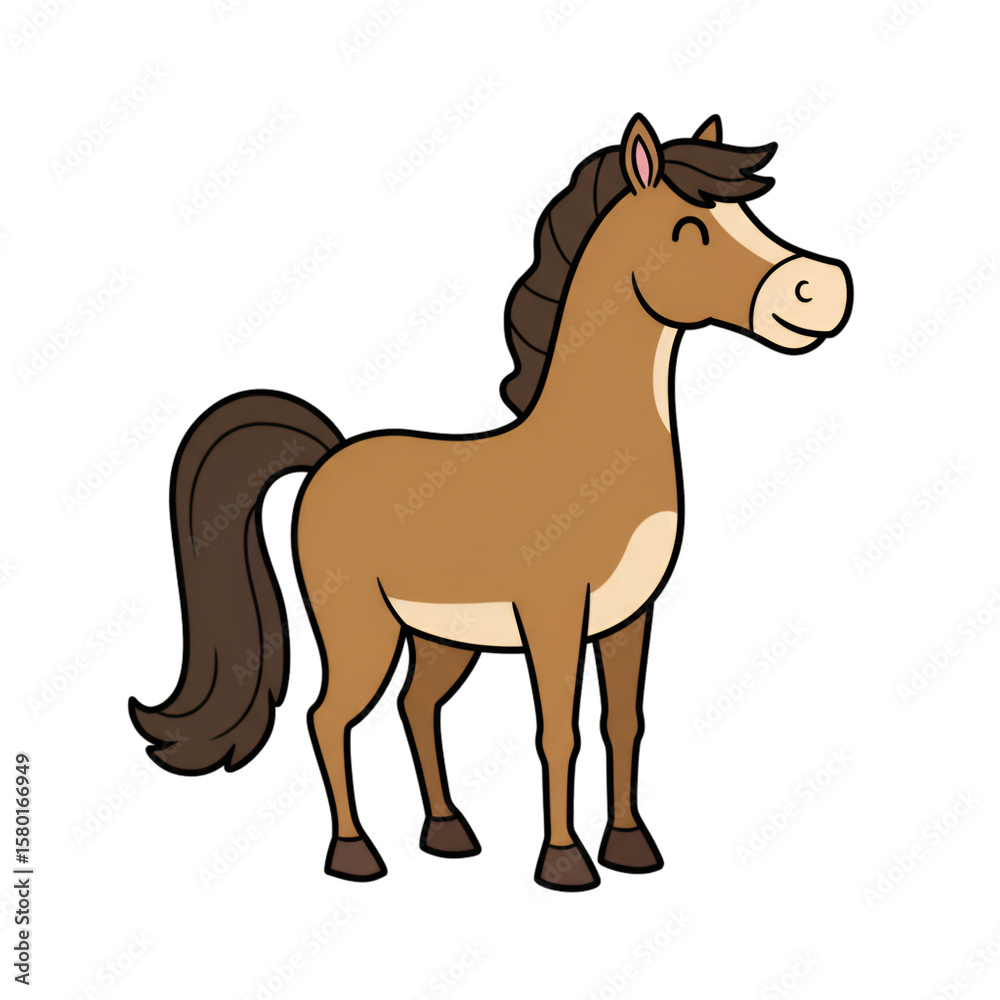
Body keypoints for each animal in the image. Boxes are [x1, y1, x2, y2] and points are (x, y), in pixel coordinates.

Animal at [130, 112, 852, 891]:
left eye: (752, 214)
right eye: (688, 228)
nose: (822, 288)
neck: (590, 451)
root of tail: (328, 458)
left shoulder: (630, 618)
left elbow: (622, 725)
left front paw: (630, 847)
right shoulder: (553, 617)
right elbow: (559, 731)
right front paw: (565, 863)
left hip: (441, 637)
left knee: (416, 707)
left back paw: (447, 834)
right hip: (361, 630)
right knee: (329, 718)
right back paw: (356, 855)